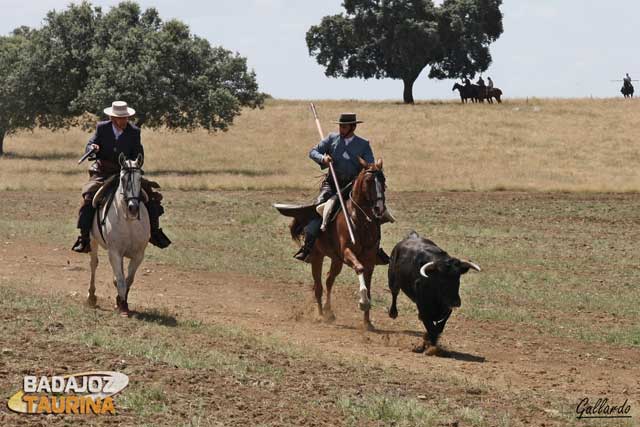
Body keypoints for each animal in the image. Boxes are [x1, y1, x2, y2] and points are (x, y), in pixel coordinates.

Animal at [87, 155, 151, 318]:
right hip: (92, 240)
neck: (128, 221)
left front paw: (122, 302)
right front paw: (122, 306)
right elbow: (121, 280)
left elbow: (128, 280)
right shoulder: (114, 252)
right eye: (122, 178)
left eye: (140, 178)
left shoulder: (138, 255)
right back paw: (91, 297)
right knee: (93, 264)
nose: (133, 208)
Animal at [282, 160, 388, 332]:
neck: (360, 220)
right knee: (318, 286)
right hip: (317, 256)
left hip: (336, 260)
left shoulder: (370, 260)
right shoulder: (347, 252)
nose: (379, 208)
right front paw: (363, 302)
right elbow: (359, 268)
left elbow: (368, 285)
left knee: (328, 280)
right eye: (368, 181)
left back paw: (329, 311)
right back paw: (320, 315)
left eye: (383, 180)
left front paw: (367, 322)